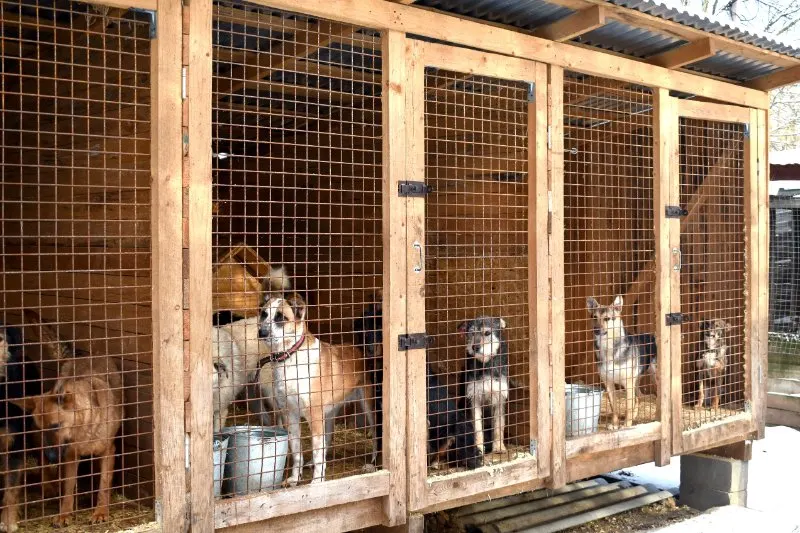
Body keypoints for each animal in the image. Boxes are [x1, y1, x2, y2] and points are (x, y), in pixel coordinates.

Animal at [14, 312, 122, 528]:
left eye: (56, 426)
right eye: (42, 428)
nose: (53, 457)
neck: (84, 429)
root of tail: (78, 355)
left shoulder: (108, 451)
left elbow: (104, 485)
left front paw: (101, 512)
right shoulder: (70, 456)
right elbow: (68, 488)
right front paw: (64, 514)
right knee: (42, 462)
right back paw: (48, 486)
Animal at [258, 294, 380, 484]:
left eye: (280, 317)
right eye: (264, 314)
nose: (261, 332)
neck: (290, 357)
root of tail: (359, 349)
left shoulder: (314, 416)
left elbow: (316, 451)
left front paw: (317, 482)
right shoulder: (289, 414)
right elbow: (297, 450)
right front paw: (295, 478)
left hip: (368, 406)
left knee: (375, 434)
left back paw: (373, 461)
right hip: (328, 414)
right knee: (327, 440)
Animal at [456, 316, 512, 458]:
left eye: (487, 333)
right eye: (471, 333)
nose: (475, 347)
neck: (485, 364)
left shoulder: (499, 398)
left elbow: (498, 426)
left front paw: (499, 447)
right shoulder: (473, 398)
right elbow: (477, 428)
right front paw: (478, 448)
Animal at [584, 296, 660, 428]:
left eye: (607, 318)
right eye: (594, 317)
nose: (596, 330)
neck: (608, 348)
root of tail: (653, 336)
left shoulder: (628, 383)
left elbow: (628, 407)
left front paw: (626, 425)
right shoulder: (608, 383)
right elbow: (614, 407)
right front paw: (615, 424)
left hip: (654, 377)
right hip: (636, 380)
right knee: (638, 398)